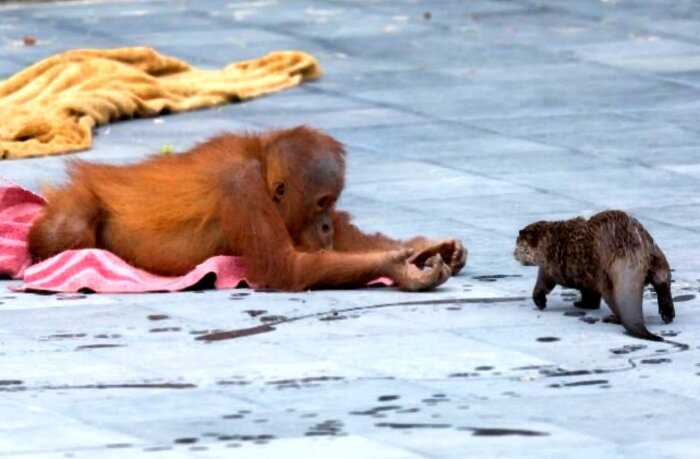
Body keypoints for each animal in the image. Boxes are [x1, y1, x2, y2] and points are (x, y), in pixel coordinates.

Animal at [516, 210, 672, 340]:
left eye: (518, 246)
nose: (514, 254)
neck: (550, 242)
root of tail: (632, 253)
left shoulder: (553, 266)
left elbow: (545, 282)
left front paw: (541, 302)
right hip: (655, 253)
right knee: (662, 279)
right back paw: (668, 315)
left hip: (605, 275)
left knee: (614, 299)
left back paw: (613, 318)